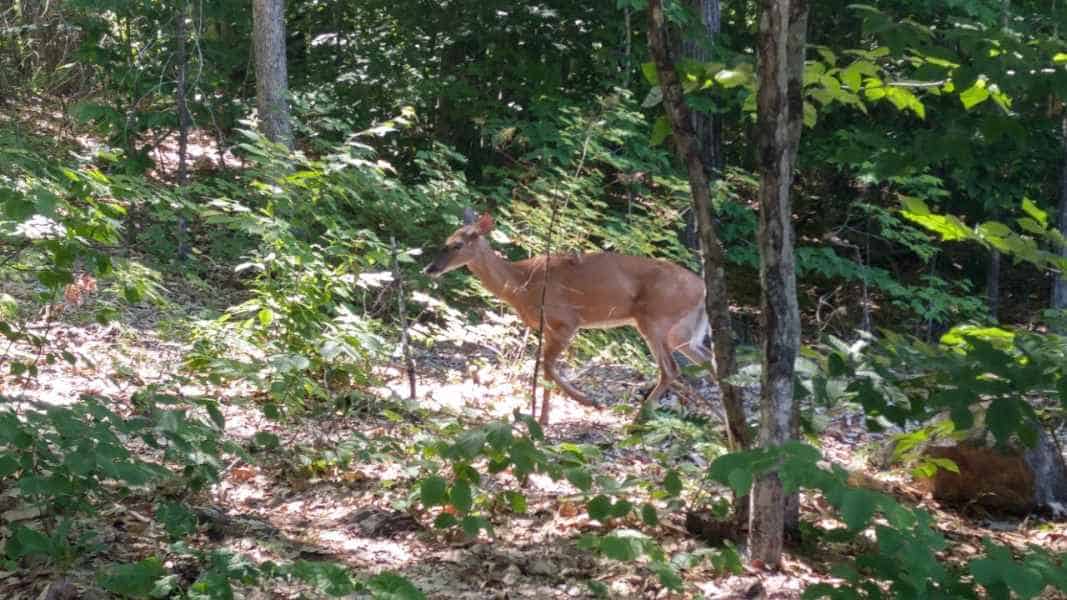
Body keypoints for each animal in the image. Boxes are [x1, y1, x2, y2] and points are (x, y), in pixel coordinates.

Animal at [424, 208, 717, 422]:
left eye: (457, 245)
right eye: (445, 242)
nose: (430, 269)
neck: (521, 284)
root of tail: (703, 289)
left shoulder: (567, 321)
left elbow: (547, 366)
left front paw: (588, 401)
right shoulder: (546, 328)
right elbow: (545, 369)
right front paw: (542, 420)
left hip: (655, 319)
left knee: (671, 369)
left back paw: (637, 420)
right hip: (682, 331)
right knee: (709, 361)